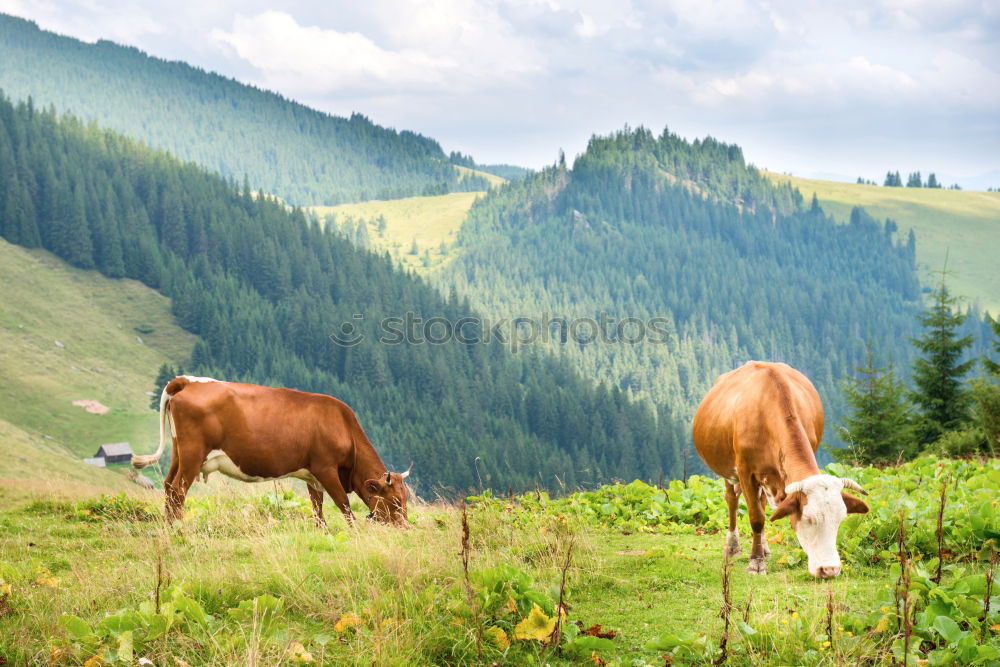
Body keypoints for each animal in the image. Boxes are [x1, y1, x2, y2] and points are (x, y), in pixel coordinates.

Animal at [134, 376, 410, 528]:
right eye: (396, 501)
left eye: (407, 498)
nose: (406, 528)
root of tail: (187, 381)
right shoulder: (326, 468)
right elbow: (344, 505)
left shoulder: (312, 474)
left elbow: (317, 507)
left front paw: (322, 531)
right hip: (193, 453)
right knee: (178, 490)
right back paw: (179, 528)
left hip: (179, 452)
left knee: (168, 486)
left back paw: (168, 526)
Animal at [696, 362, 868, 576]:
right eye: (808, 519)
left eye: (840, 519)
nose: (829, 569)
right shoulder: (745, 472)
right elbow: (756, 518)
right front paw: (756, 562)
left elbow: (762, 512)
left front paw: (760, 553)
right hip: (728, 469)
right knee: (732, 501)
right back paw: (733, 546)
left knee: (760, 502)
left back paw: (764, 547)